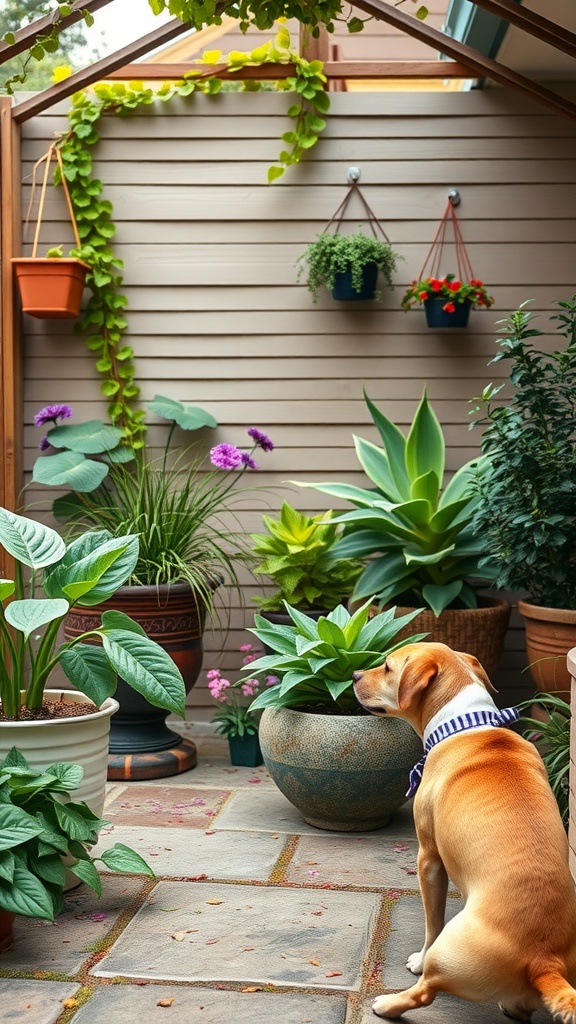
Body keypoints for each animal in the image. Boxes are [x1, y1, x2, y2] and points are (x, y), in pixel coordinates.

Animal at [350, 643, 573, 1019]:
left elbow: (431, 922)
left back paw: (388, 1004)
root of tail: (545, 961)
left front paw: (417, 957)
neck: (465, 723)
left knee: (425, 990)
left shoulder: (429, 859)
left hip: (447, 955)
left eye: (387, 667)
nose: (353, 675)